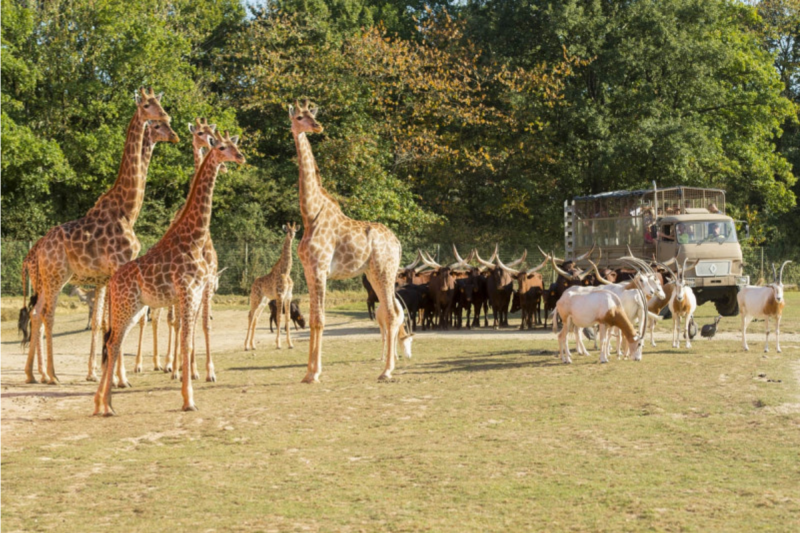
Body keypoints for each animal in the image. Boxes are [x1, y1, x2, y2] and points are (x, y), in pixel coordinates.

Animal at [20, 89, 172, 384]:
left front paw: (104, 375)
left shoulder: (106, 277)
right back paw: (51, 375)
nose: (171, 128)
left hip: (48, 280)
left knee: (36, 313)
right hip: (55, 276)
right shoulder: (116, 267)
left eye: (160, 105)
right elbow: (113, 321)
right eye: (149, 107)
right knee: (47, 315)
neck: (127, 209)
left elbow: (103, 322)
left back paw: (34, 374)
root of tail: (34, 253)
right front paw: (118, 378)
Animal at [94, 131, 244, 414]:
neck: (194, 238)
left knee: (113, 342)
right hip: (125, 307)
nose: (240, 157)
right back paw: (105, 404)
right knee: (112, 342)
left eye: (235, 145)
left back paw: (104, 404)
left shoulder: (194, 292)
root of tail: (112, 281)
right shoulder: (188, 291)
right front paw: (189, 400)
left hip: (134, 308)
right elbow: (186, 340)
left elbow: (190, 337)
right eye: (221, 147)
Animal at [244, 220, 300, 350]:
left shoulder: (288, 296)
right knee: (250, 315)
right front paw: (278, 344)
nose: (292, 235)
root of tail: (253, 284)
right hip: (255, 298)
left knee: (256, 317)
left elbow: (287, 317)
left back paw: (253, 345)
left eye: (295, 230)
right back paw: (246, 346)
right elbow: (279, 317)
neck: (286, 271)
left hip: (264, 301)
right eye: (287, 230)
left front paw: (290, 344)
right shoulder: (280, 295)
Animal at [290, 100, 412, 382]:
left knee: (391, 313)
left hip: (385, 270)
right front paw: (308, 372)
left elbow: (320, 319)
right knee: (389, 312)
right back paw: (387, 368)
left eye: (311, 114)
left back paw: (386, 371)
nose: (317, 126)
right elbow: (313, 318)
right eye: (300, 117)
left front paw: (314, 373)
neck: (310, 215)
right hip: (374, 273)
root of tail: (397, 242)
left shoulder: (320, 269)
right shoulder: (309, 271)